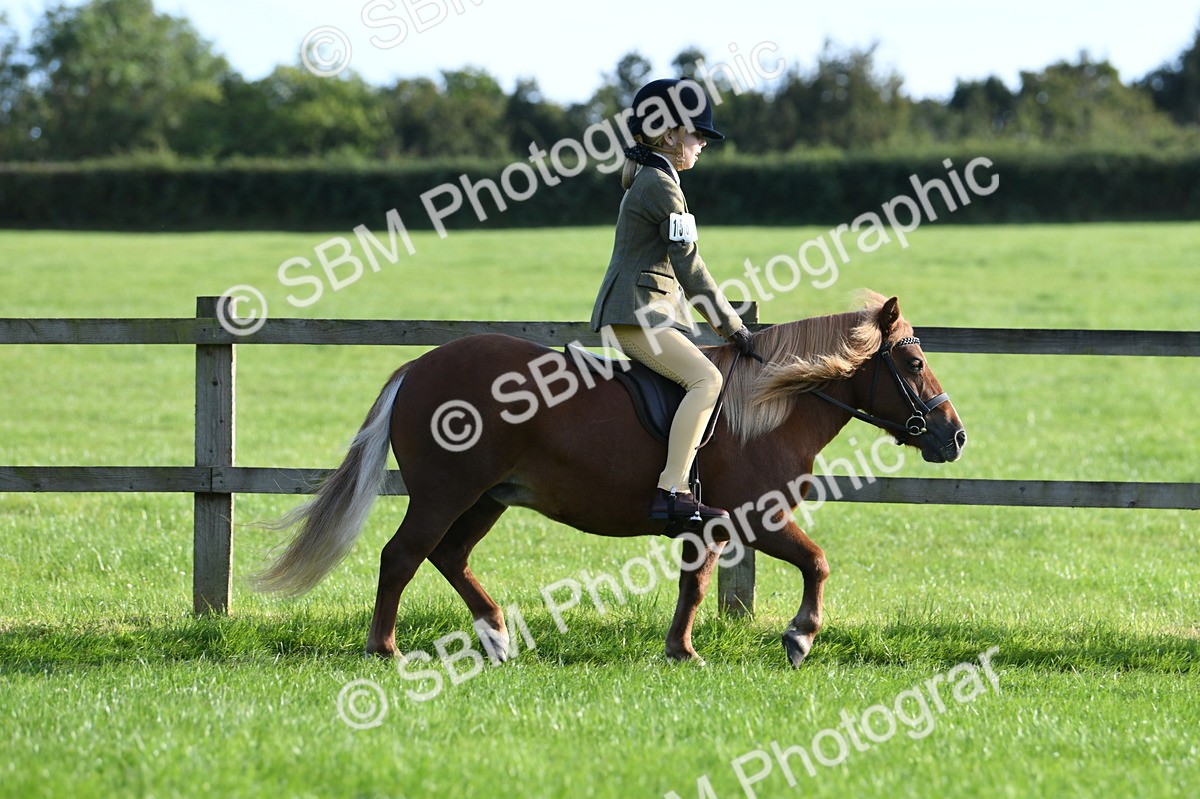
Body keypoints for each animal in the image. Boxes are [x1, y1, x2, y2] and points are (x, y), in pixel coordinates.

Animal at [253, 291, 966, 668]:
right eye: (912, 361)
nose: (954, 435)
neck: (769, 406)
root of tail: (418, 367)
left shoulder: (705, 528)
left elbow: (694, 586)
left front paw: (681, 651)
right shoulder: (755, 518)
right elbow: (816, 562)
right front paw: (799, 636)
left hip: (487, 498)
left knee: (450, 556)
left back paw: (497, 636)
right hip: (445, 492)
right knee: (402, 555)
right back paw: (386, 649)